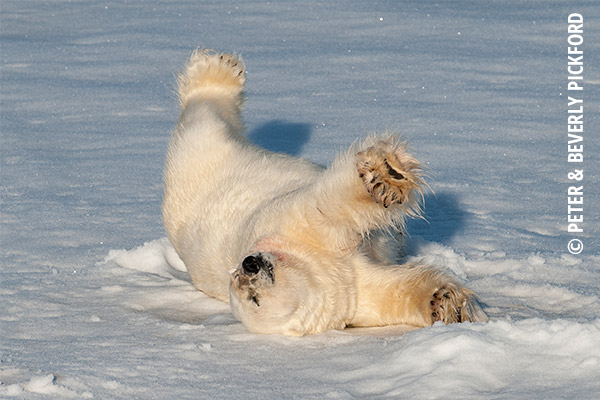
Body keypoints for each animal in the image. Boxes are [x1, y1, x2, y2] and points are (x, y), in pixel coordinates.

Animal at [163, 50, 488, 338]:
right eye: (253, 299)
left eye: (240, 274)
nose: (249, 264)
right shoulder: (351, 291)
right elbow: (390, 291)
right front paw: (445, 303)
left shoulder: (287, 227)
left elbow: (325, 209)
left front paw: (385, 175)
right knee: (203, 115)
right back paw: (216, 74)